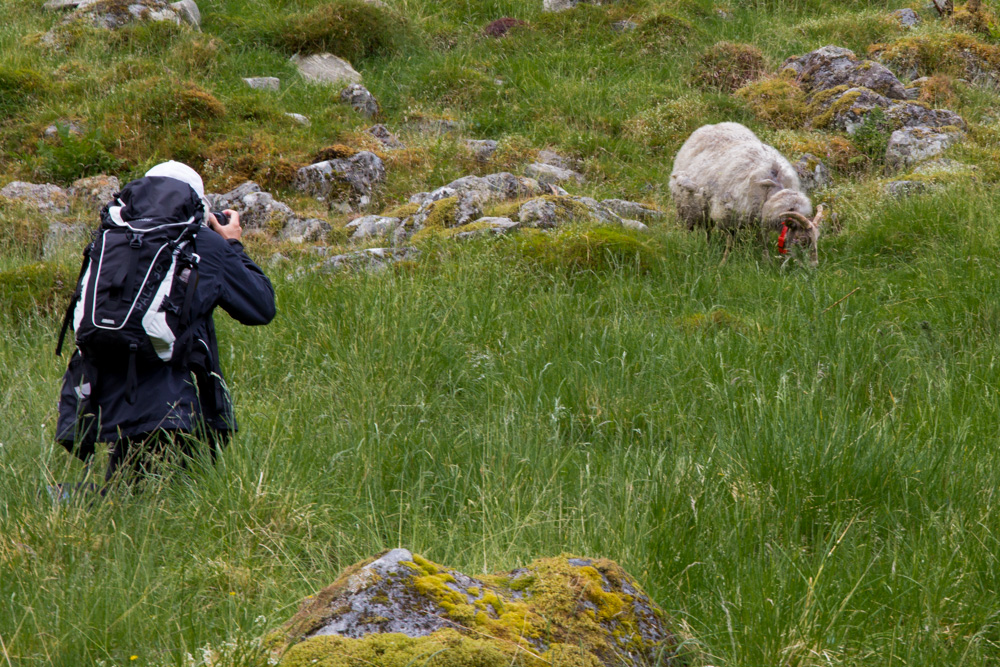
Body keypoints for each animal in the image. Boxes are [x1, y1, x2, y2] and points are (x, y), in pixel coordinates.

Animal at [668, 122, 824, 266]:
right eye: (802, 240)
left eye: (816, 239)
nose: (814, 266)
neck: (773, 191)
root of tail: (711, 125)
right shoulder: (727, 215)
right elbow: (730, 242)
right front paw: (724, 262)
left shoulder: (761, 219)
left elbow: (763, 240)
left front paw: (766, 260)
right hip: (686, 206)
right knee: (690, 228)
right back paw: (689, 244)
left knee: (708, 230)